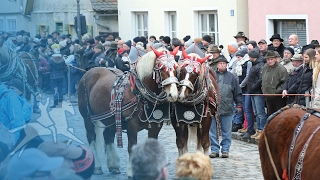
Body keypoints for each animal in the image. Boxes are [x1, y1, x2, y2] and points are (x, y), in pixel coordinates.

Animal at [76, 46, 179, 176]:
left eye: (176, 68)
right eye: (162, 68)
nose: (173, 94)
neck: (140, 93)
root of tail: (88, 72)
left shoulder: (155, 126)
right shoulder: (132, 125)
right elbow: (131, 147)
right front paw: (130, 171)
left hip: (111, 119)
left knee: (108, 135)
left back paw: (113, 165)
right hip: (88, 118)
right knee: (91, 137)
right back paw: (98, 166)